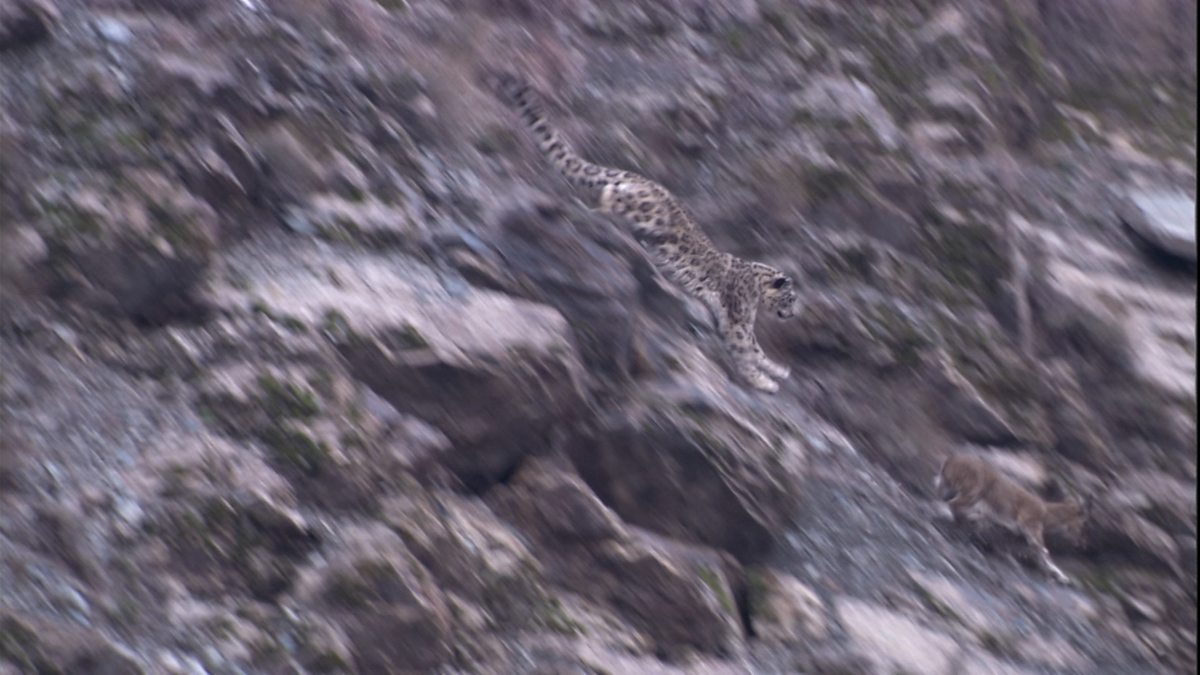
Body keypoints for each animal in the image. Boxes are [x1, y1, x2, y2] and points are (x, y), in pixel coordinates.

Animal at [484, 70, 797, 393]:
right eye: (791, 298)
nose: (792, 314)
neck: (756, 290)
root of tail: (643, 179)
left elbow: (756, 349)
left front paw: (777, 370)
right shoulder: (738, 320)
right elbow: (746, 348)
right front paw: (763, 381)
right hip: (651, 214)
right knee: (613, 195)